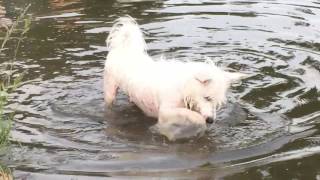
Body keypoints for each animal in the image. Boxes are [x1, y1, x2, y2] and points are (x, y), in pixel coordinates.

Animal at [104, 16, 246, 141]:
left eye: (218, 104)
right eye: (207, 98)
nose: (211, 120)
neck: (184, 88)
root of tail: (123, 48)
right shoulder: (166, 111)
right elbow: (194, 116)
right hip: (110, 89)